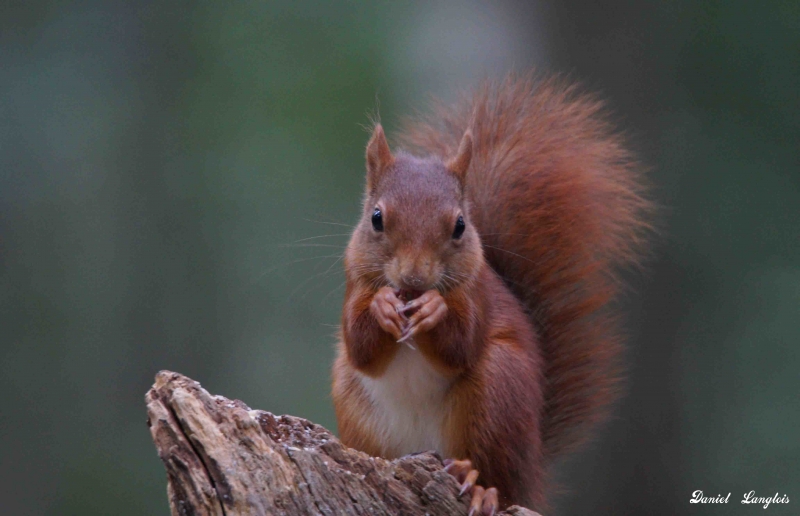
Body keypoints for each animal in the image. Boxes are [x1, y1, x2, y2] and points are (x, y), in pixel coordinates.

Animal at [332, 74, 648, 512]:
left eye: (460, 226)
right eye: (376, 218)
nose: (414, 278)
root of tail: (533, 470)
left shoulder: (477, 297)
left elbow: (461, 344)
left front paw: (436, 309)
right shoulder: (354, 284)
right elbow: (361, 347)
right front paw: (382, 306)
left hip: (499, 391)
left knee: (497, 475)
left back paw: (480, 485)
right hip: (355, 405)